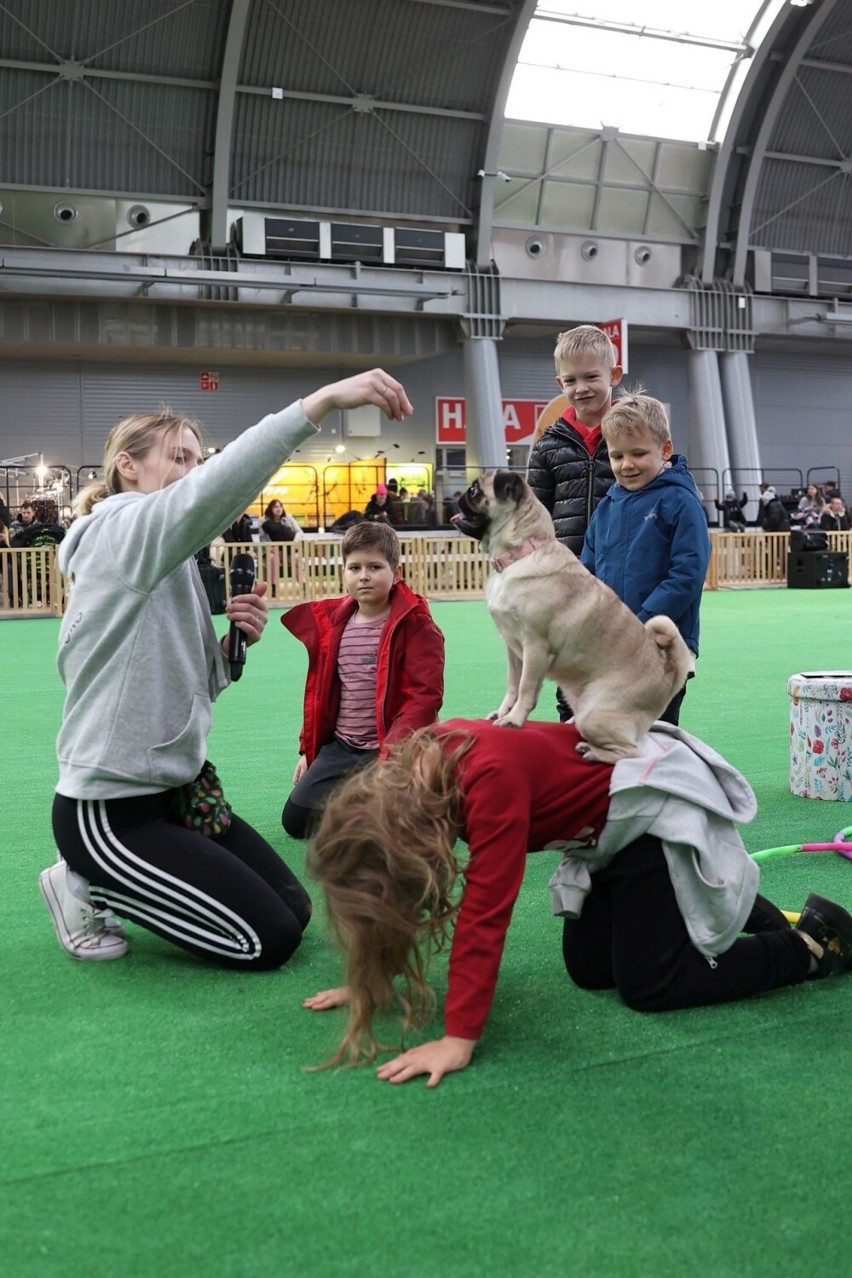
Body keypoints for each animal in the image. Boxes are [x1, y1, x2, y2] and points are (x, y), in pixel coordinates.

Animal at [452, 475, 694, 761]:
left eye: (475, 491)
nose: (459, 495)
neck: (521, 554)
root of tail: (667, 674)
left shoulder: (535, 647)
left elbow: (525, 688)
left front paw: (514, 720)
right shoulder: (513, 648)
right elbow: (512, 684)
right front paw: (503, 712)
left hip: (595, 715)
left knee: (632, 752)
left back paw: (592, 752)